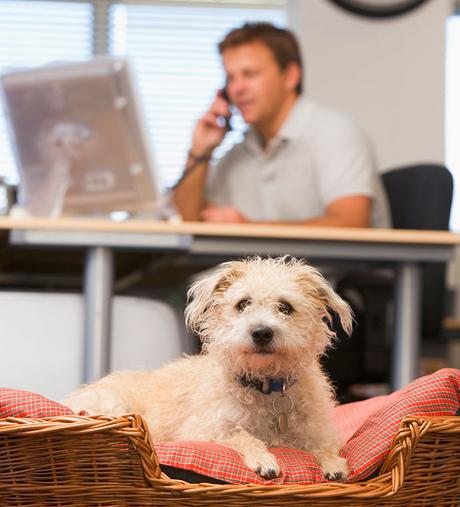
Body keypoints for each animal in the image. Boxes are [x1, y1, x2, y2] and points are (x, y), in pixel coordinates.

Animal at [63, 256, 352, 482]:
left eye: (285, 307)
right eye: (243, 304)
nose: (261, 332)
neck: (266, 386)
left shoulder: (317, 432)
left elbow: (326, 447)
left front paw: (335, 465)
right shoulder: (204, 432)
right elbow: (242, 436)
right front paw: (264, 459)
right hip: (114, 405)